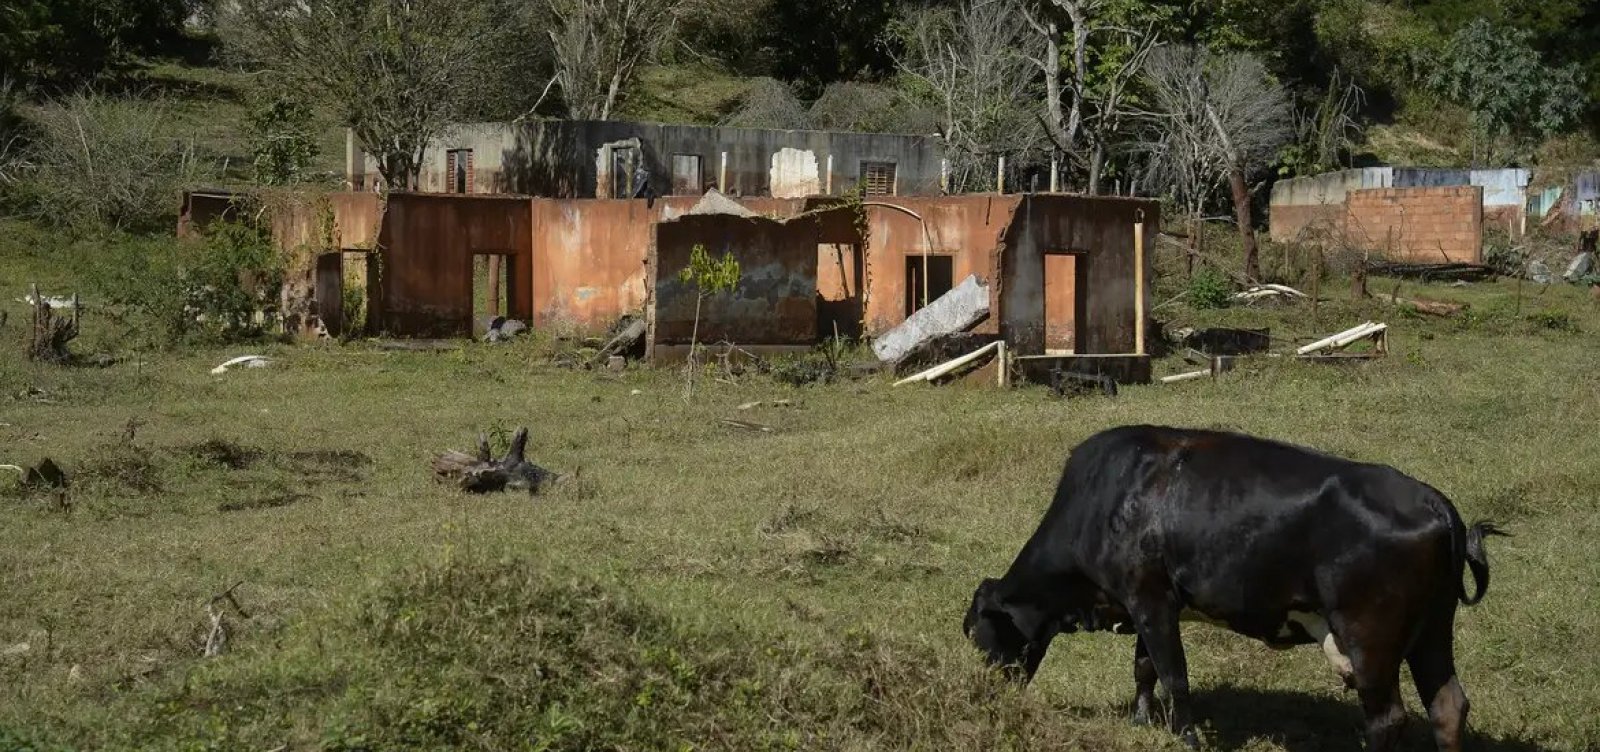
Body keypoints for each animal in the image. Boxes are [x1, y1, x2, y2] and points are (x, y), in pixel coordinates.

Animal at [966, 425, 1504, 752]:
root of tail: (1435, 502)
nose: (987, 694)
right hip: (1432, 631)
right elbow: (1144, 668)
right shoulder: (1146, 604)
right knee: (1447, 707)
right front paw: (1141, 722)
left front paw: (1186, 737)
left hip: (1370, 636)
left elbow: (1174, 675)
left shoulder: (1150, 600)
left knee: (1387, 718)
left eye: (980, 636)